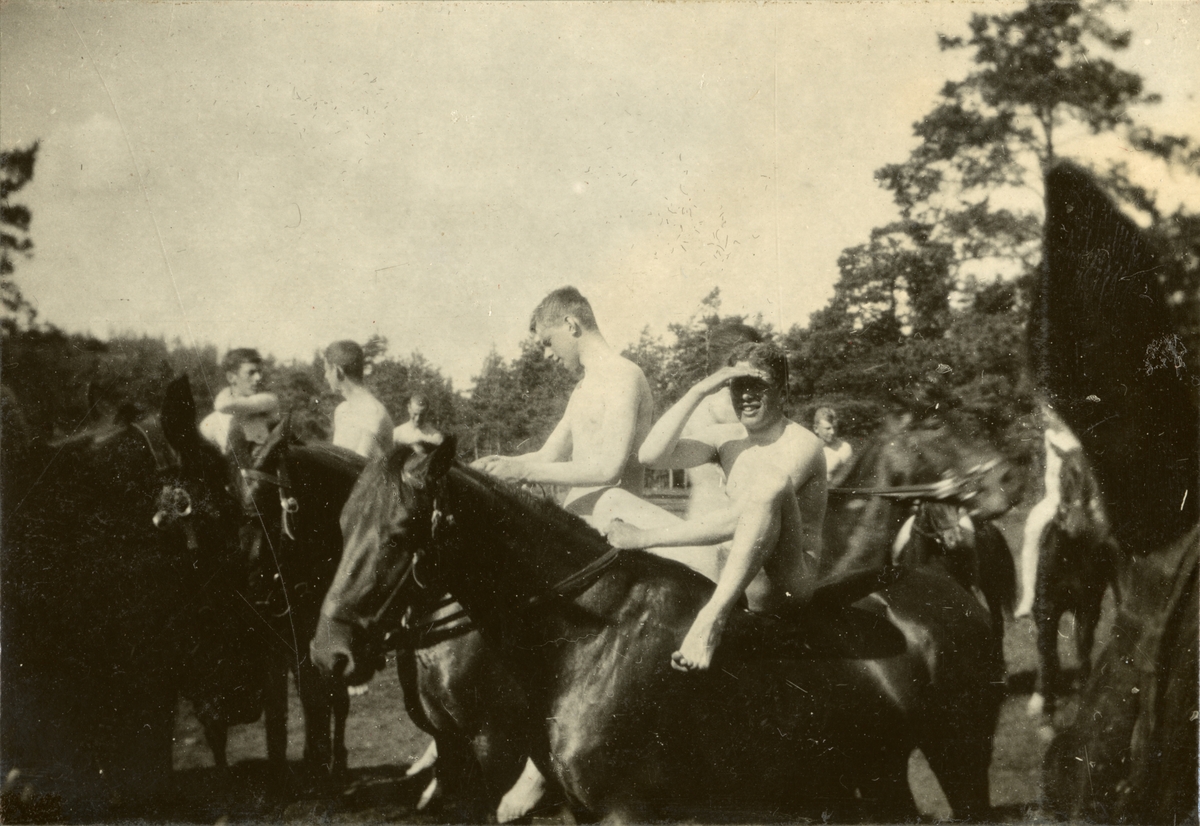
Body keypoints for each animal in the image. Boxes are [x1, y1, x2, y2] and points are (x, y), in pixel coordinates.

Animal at [312, 438, 1005, 822]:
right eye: (343, 525)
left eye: (400, 533)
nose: (330, 655)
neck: (590, 641)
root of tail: (954, 597)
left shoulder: (625, 807)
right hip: (877, 776)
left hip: (961, 758)